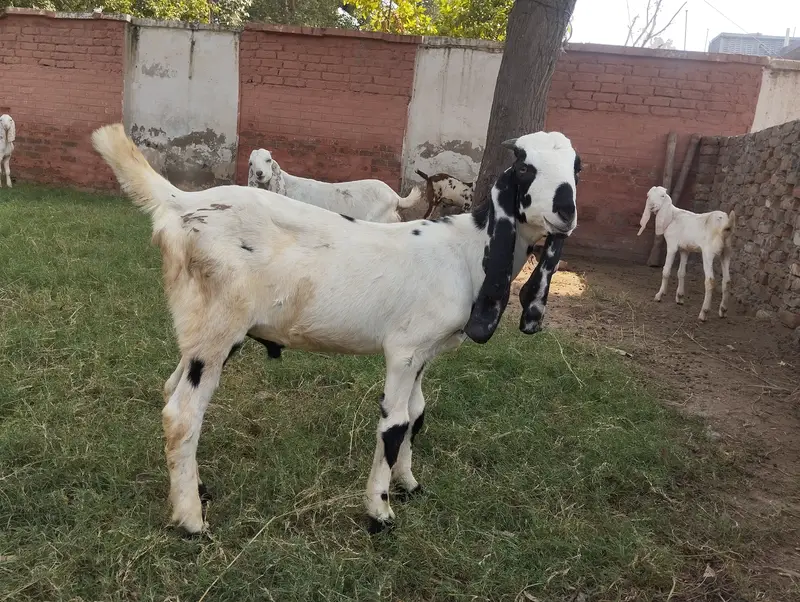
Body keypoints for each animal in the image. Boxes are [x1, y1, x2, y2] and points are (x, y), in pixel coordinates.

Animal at [638, 185, 736, 321]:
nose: (651, 206)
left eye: (663, 196)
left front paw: (659, 295)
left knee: (710, 281)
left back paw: (703, 313)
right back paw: (723, 310)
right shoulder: (685, 249)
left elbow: (666, 271)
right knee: (727, 281)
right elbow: (681, 272)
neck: (673, 216)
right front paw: (680, 297)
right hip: (727, 253)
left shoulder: (672, 246)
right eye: (648, 196)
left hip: (708, 253)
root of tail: (726, 225)